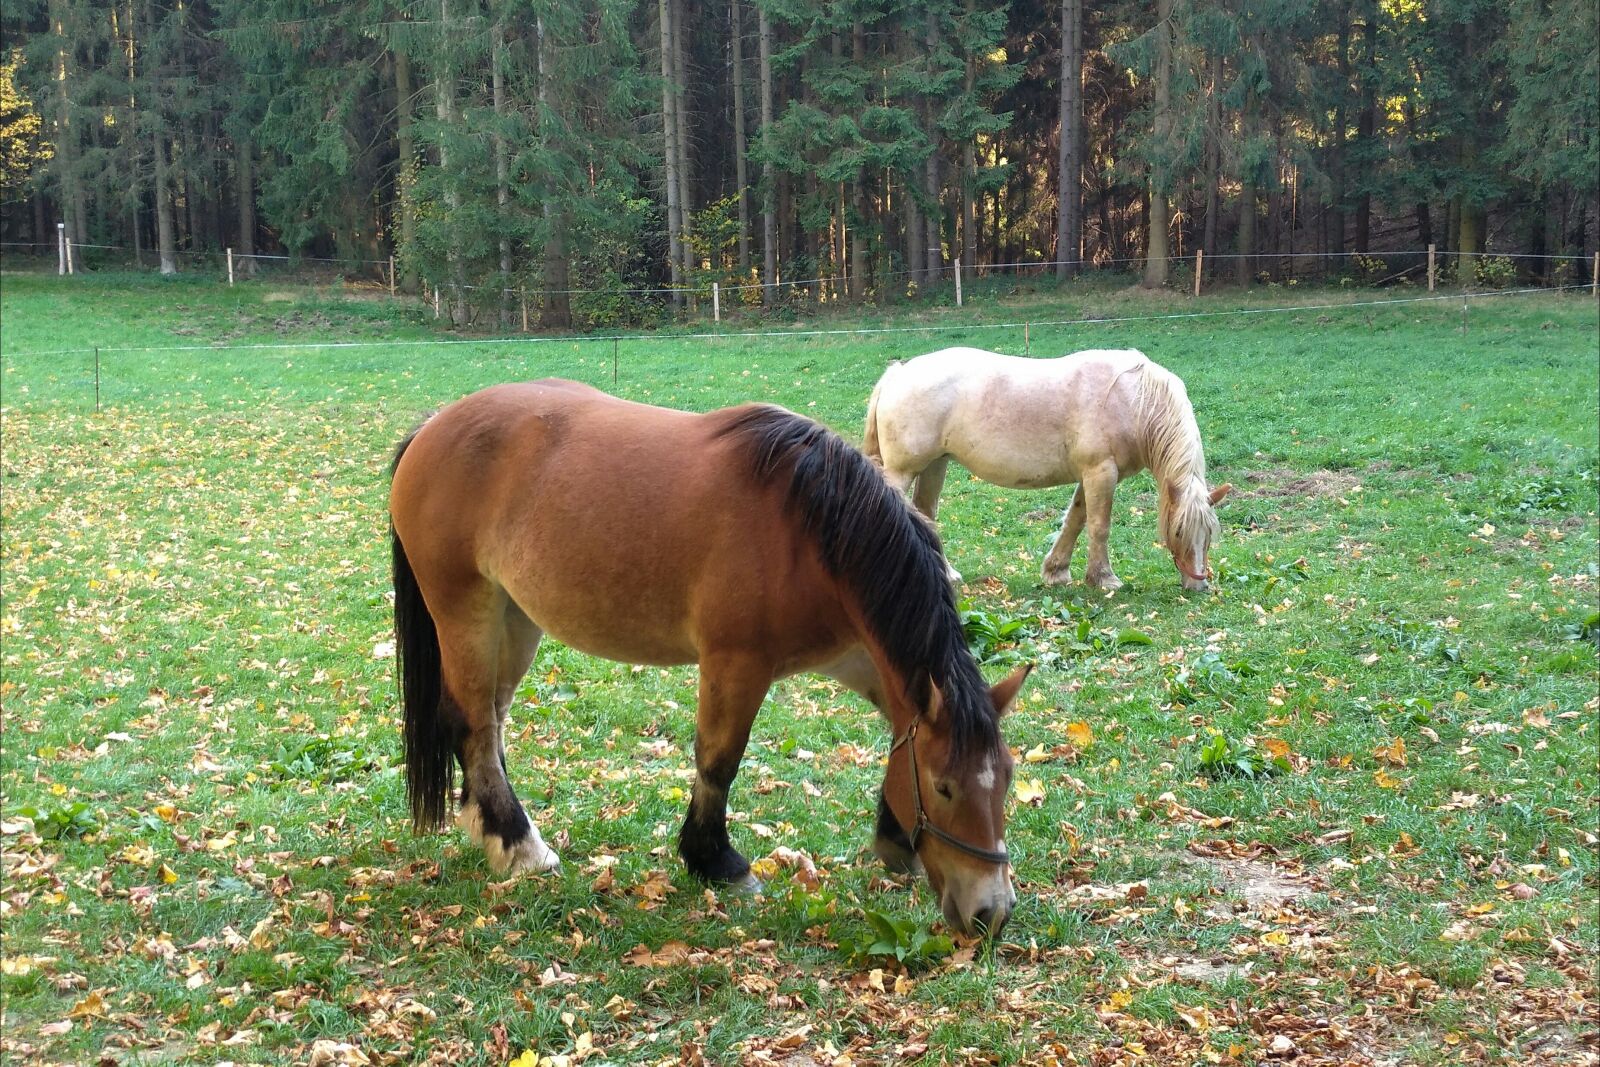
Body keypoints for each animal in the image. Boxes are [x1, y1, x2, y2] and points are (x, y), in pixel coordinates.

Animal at [388, 380, 1030, 936]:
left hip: (515, 619)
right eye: (944, 789)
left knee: (491, 723)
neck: (810, 533)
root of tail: (433, 428)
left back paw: (489, 824)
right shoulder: (736, 664)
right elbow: (719, 762)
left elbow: (899, 735)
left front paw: (894, 840)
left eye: (1006, 780)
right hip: (465, 613)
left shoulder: (863, 661)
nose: (990, 913)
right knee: (471, 723)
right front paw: (716, 861)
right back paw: (518, 845)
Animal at [863, 348, 1231, 593]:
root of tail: (897, 374)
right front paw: (1104, 578)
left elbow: (1076, 521)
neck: (1134, 400)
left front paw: (1057, 571)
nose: (1198, 584)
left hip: (934, 465)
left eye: (1209, 535)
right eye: (1179, 532)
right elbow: (1099, 526)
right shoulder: (1101, 472)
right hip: (903, 471)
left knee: (925, 514)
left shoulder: (1090, 475)